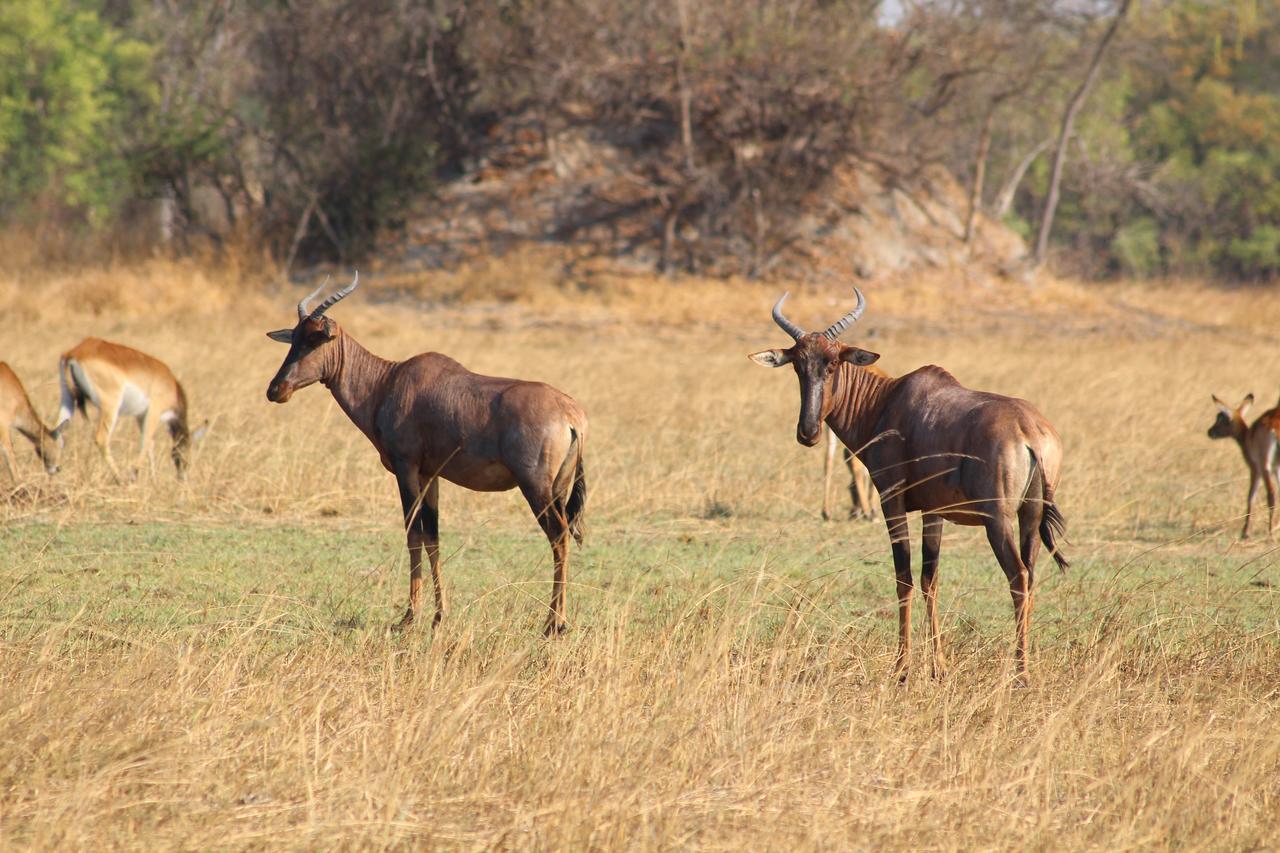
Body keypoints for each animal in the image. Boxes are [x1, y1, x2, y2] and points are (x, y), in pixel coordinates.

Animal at [55, 335, 195, 479]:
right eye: (186, 452)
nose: (182, 478)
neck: (171, 387)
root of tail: (75, 353)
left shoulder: (140, 416)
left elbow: (150, 445)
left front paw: (153, 480)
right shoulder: (154, 411)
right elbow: (146, 442)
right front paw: (134, 475)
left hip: (67, 400)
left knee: (55, 433)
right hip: (110, 407)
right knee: (101, 439)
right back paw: (119, 478)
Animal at [272, 272, 591, 630]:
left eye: (316, 340)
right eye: (294, 338)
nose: (276, 390)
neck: (388, 381)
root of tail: (571, 414)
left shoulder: (406, 468)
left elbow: (413, 534)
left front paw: (408, 618)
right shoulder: (430, 474)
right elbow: (433, 538)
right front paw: (439, 616)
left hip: (535, 486)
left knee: (558, 536)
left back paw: (554, 624)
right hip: (558, 488)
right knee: (563, 535)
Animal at [747, 289, 1070, 681]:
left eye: (833, 363)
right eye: (797, 365)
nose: (808, 432)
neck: (888, 400)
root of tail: (1031, 434)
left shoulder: (892, 500)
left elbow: (903, 577)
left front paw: (902, 668)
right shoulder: (934, 512)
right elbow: (930, 578)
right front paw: (938, 668)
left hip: (998, 520)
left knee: (1018, 577)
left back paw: (1020, 673)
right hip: (1030, 517)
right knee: (1032, 575)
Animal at [1203, 391, 1274, 537]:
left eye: (1220, 418)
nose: (1210, 432)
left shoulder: (1255, 468)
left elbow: (1250, 497)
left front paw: (1245, 532)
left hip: (1264, 466)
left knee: (1271, 494)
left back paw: (1269, 533)